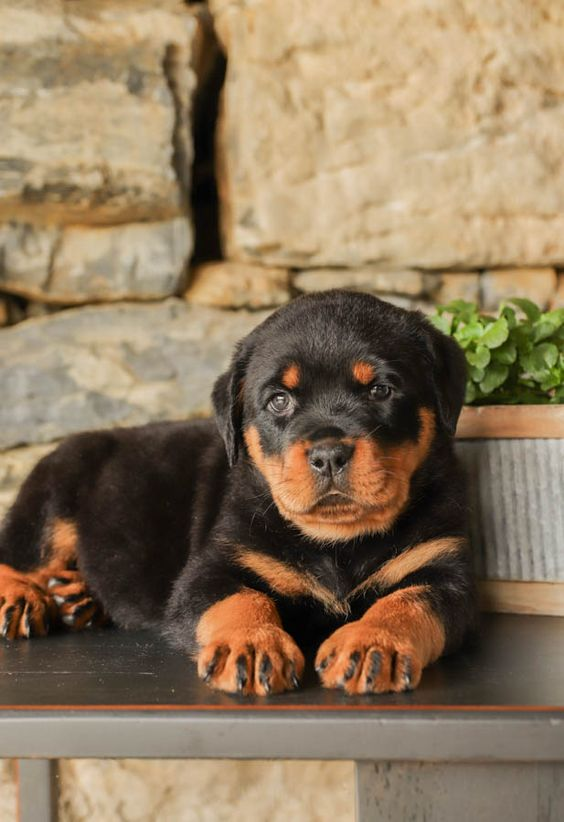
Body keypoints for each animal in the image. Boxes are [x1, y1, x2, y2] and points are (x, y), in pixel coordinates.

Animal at [0, 290, 476, 696]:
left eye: (380, 389)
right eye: (279, 400)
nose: (328, 454)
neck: (337, 543)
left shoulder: (446, 571)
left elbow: (408, 602)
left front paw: (373, 643)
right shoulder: (212, 568)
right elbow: (242, 598)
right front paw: (251, 644)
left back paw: (76, 596)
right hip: (56, 489)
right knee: (21, 553)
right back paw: (23, 598)